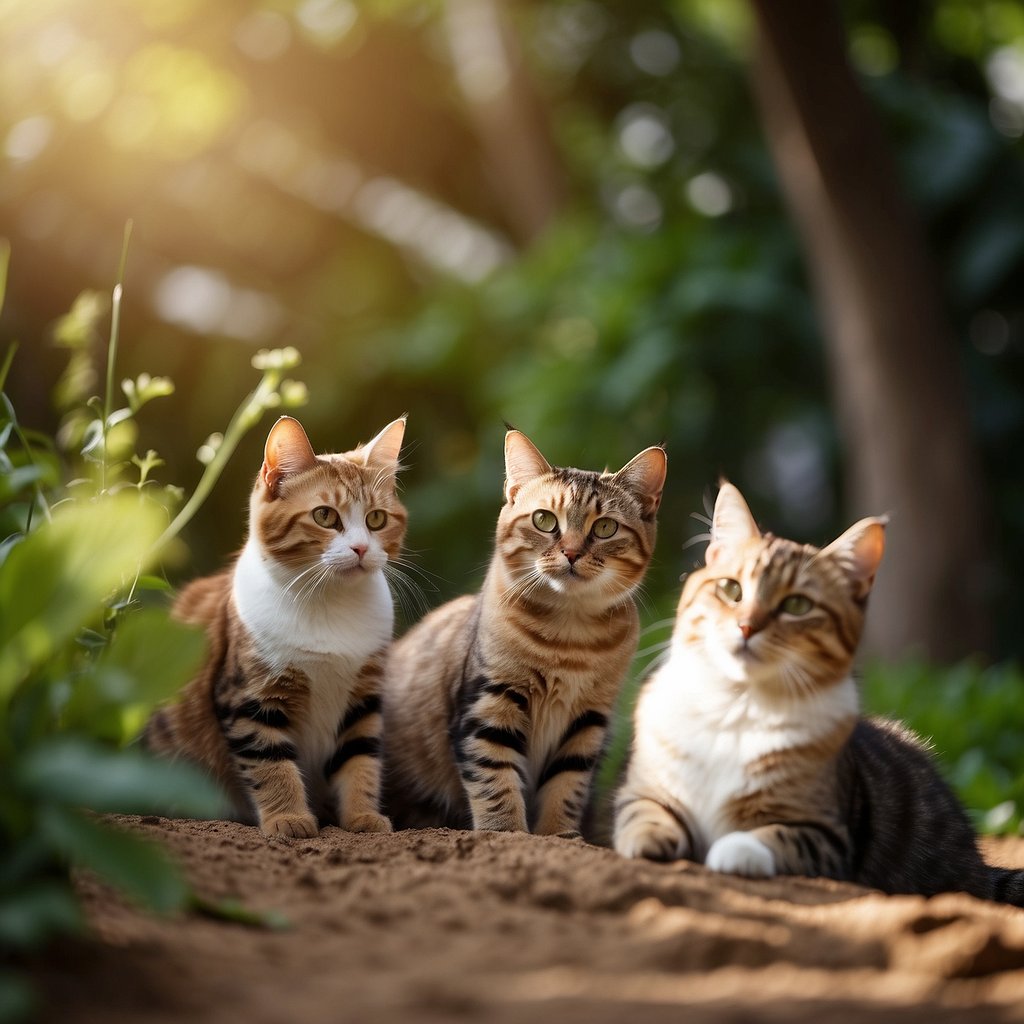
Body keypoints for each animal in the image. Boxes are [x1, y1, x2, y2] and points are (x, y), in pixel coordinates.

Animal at [145, 415, 407, 839]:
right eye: (324, 516)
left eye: (377, 519)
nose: (361, 549)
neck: (330, 604)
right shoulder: (251, 696)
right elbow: (270, 764)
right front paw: (289, 817)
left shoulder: (363, 698)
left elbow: (360, 759)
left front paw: (362, 816)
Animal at [382, 428, 663, 835]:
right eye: (544, 520)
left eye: (605, 527)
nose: (571, 553)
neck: (569, 636)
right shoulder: (489, 702)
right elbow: (495, 777)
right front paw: (506, 831)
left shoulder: (588, 719)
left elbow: (567, 784)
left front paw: (560, 835)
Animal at [610, 481, 1024, 905]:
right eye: (730, 589)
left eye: (796, 604)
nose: (746, 626)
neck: (736, 706)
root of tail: (977, 863)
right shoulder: (645, 787)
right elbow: (642, 810)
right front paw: (647, 838)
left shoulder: (828, 834)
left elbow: (777, 836)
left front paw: (734, 850)